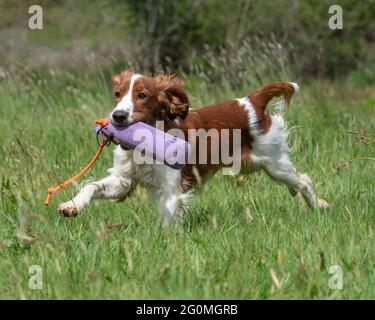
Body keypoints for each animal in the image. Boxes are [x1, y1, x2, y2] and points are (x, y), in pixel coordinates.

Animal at [58, 70, 328, 225]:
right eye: (117, 93)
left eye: (142, 95)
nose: (118, 116)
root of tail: (252, 101)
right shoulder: (124, 180)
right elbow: (92, 186)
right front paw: (71, 206)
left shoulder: (171, 188)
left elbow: (166, 220)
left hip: (273, 163)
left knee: (303, 180)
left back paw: (319, 206)